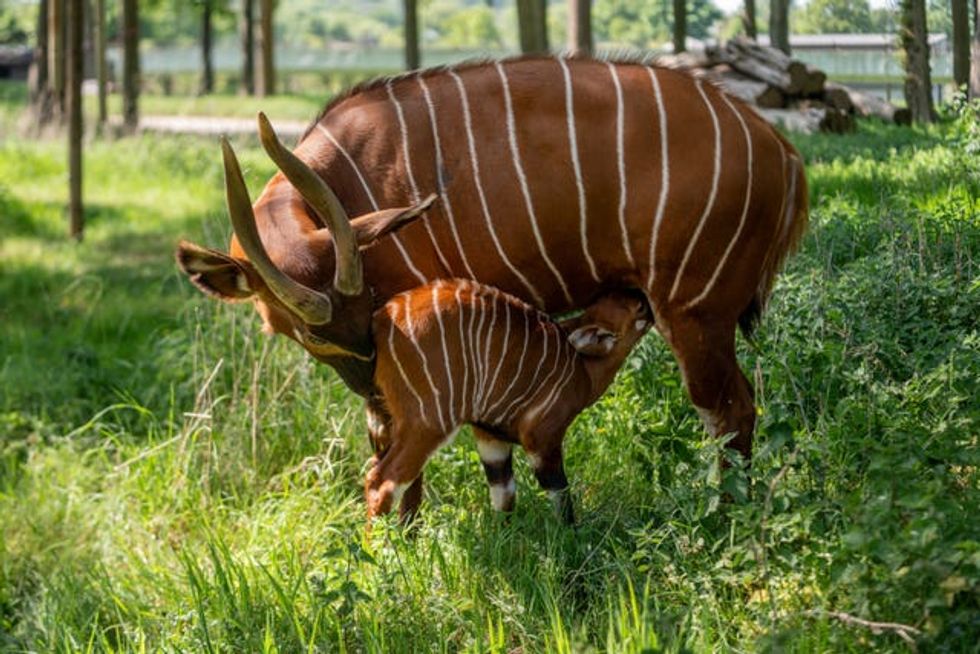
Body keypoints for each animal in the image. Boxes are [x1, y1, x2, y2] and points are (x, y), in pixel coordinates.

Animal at [176, 55, 809, 462]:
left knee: (730, 414)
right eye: (313, 334)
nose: (371, 381)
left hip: (695, 312)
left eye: (370, 305)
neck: (341, 178)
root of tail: (783, 151)